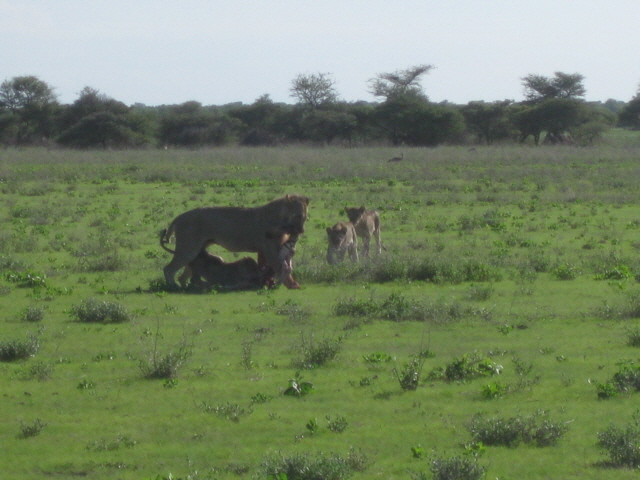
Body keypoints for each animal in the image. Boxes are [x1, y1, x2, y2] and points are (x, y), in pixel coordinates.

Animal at [161, 195, 308, 288]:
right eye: (298, 216)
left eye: (305, 217)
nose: (302, 230)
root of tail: (178, 217)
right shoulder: (270, 249)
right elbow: (281, 267)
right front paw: (292, 285)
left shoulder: (265, 250)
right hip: (188, 248)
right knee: (169, 269)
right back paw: (174, 286)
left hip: (196, 251)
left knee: (185, 274)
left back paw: (187, 286)